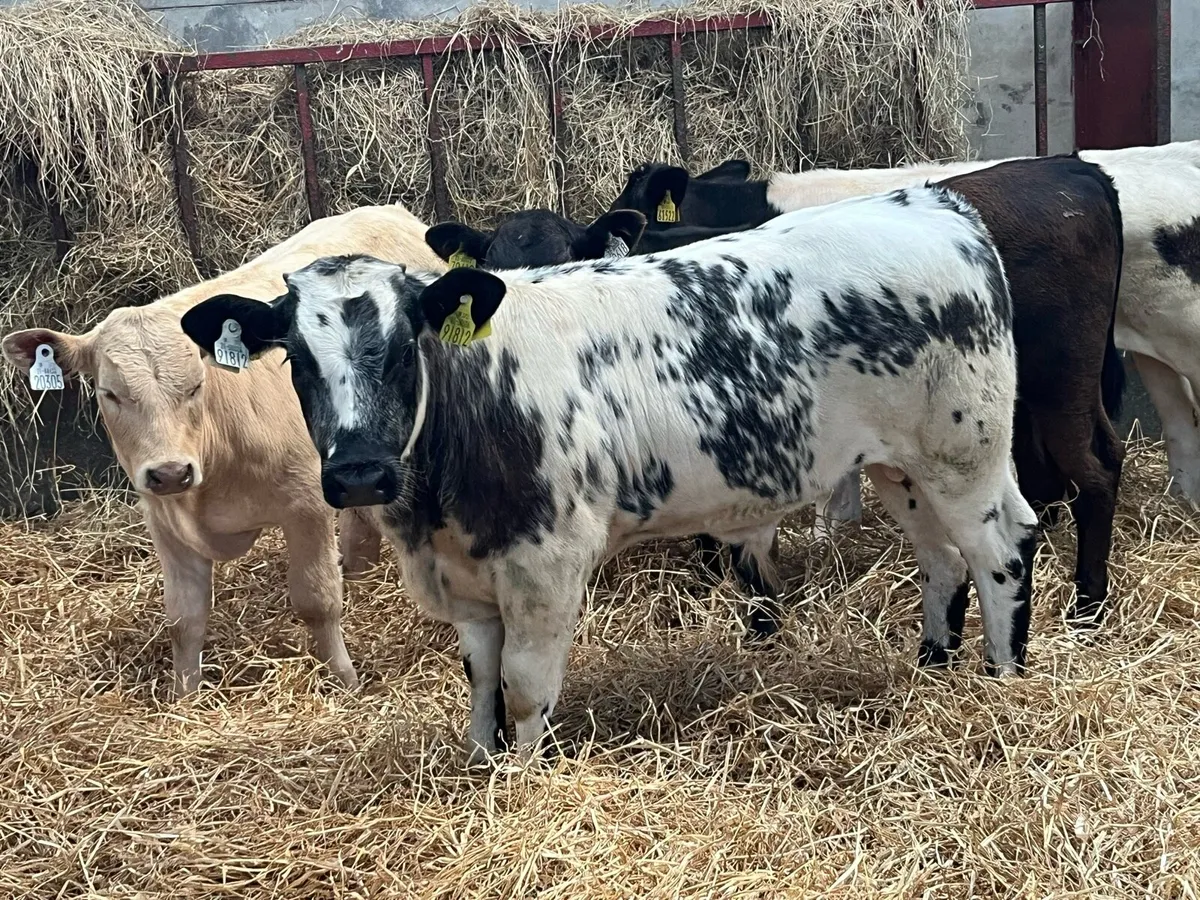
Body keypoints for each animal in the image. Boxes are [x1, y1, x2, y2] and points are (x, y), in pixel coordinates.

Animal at [1, 203, 446, 697]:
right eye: (109, 393)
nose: (170, 472)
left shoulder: (306, 504)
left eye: (196, 385)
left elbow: (317, 600)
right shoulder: (164, 520)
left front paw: (345, 680)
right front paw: (184, 698)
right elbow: (184, 619)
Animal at [179, 185, 1039, 763]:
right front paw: (484, 766)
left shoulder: (546, 562)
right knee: (942, 559)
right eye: (296, 357)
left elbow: (524, 687)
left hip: (964, 452)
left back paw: (1003, 679)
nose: (358, 474)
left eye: (401, 346)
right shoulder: (468, 579)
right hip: (902, 465)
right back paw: (933, 663)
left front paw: (525, 781)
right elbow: (480, 683)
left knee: (1002, 551)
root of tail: (932, 204)